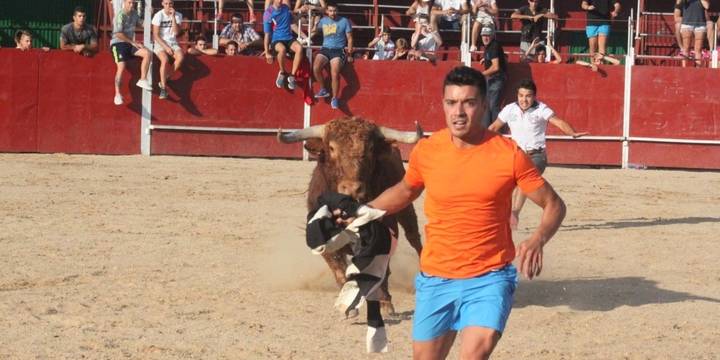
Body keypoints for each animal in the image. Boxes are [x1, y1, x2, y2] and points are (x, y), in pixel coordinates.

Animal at [276, 116, 422, 314]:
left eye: (370, 149)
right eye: (331, 148)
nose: (352, 189)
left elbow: (380, 270)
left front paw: (385, 303)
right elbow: (339, 271)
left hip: (406, 207)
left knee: (414, 236)